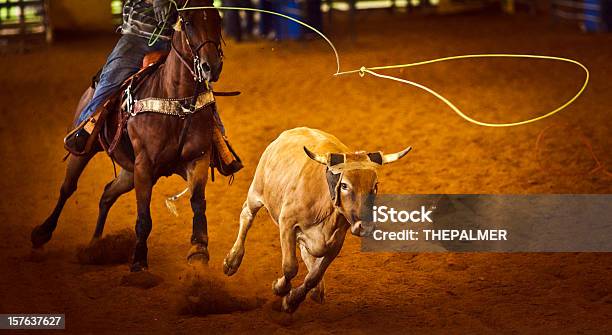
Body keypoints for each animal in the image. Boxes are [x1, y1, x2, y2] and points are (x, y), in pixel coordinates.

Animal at [30, 0, 222, 272]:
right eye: (188, 22)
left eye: (218, 20)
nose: (211, 66)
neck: (177, 101)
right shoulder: (144, 165)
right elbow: (144, 218)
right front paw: (139, 261)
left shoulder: (197, 159)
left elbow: (197, 203)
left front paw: (198, 251)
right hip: (86, 150)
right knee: (67, 188)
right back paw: (42, 233)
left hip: (129, 171)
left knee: (107, 193)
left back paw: (95, 246)